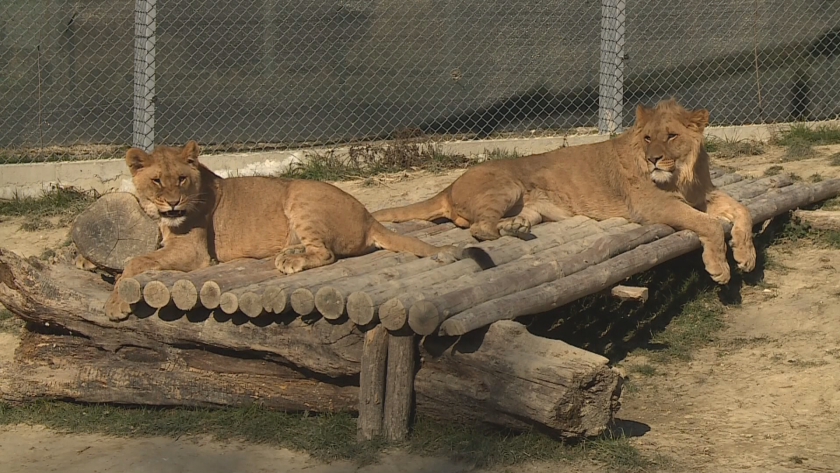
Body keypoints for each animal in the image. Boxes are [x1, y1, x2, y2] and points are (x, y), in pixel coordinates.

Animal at [103, 138, 492, 318]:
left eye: (181, 179)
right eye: (157, 180)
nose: (172, 203)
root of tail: (369, 216)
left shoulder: (195, 252)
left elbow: (135, 261)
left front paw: (116, 304)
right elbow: (137, 259)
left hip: (301, 195)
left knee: (326, 253)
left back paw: (291, 260)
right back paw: (287, 253)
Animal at [374, 98, 756, 284]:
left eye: (671, 136)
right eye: (648, 138)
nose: (653, 160)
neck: (682, 174)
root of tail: (450, 185)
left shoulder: (702, 194)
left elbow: (742, 211)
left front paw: (746, 256)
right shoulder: (653, 205)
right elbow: (709, 225)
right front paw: (720, 268)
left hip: (530, 208)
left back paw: (516, 228)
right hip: (507, 186)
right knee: (480, 229)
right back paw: (506, 232)